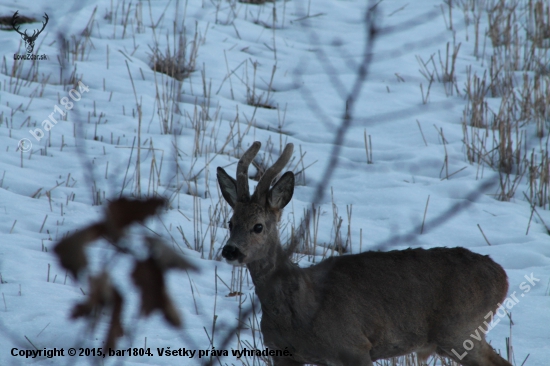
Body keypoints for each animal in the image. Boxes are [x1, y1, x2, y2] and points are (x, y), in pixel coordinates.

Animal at [218, 141, 516, 366]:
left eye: (258, 226)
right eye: (230, 222)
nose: (230, 250)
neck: (301, 308)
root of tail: (502, 276)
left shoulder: (354, 346)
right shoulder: (282, 354)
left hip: (461, 330)